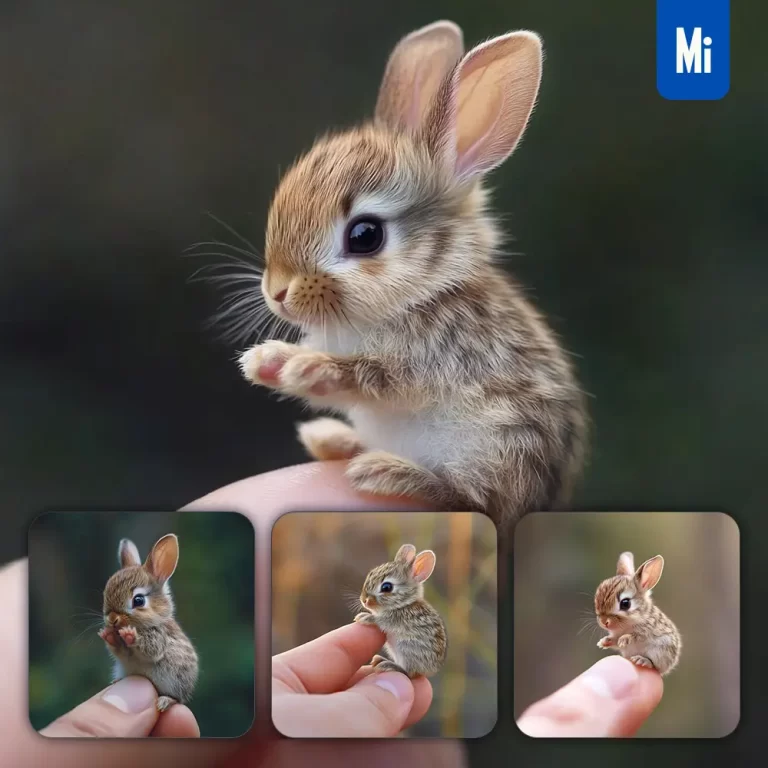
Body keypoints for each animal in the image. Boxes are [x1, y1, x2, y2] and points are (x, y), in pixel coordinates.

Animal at [98, 534, 199, 711]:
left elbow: (151, 650)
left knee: (177, 699)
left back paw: (165, 701)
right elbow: (121, 652)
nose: (112, 620)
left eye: (138, 600)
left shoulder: (159, 638)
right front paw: (108, 635)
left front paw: (130, 635)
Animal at [237, 20, 587, 525]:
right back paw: (335, 440)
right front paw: (265, 363)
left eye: (365, 235)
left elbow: (373, 378)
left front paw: (303, 365)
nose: (278, 292)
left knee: (470, 499)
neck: (422, 292)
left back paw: (386, 472)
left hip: (501, 450)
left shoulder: (434, 358)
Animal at [353, 543, 447, 678]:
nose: (364, 600)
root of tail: (430, 670)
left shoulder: (395, 619)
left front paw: (364, 617)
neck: (403, 605)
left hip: (407, 649)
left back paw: (387, 665)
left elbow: (381, 620)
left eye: (387, 587)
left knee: (408, 673)